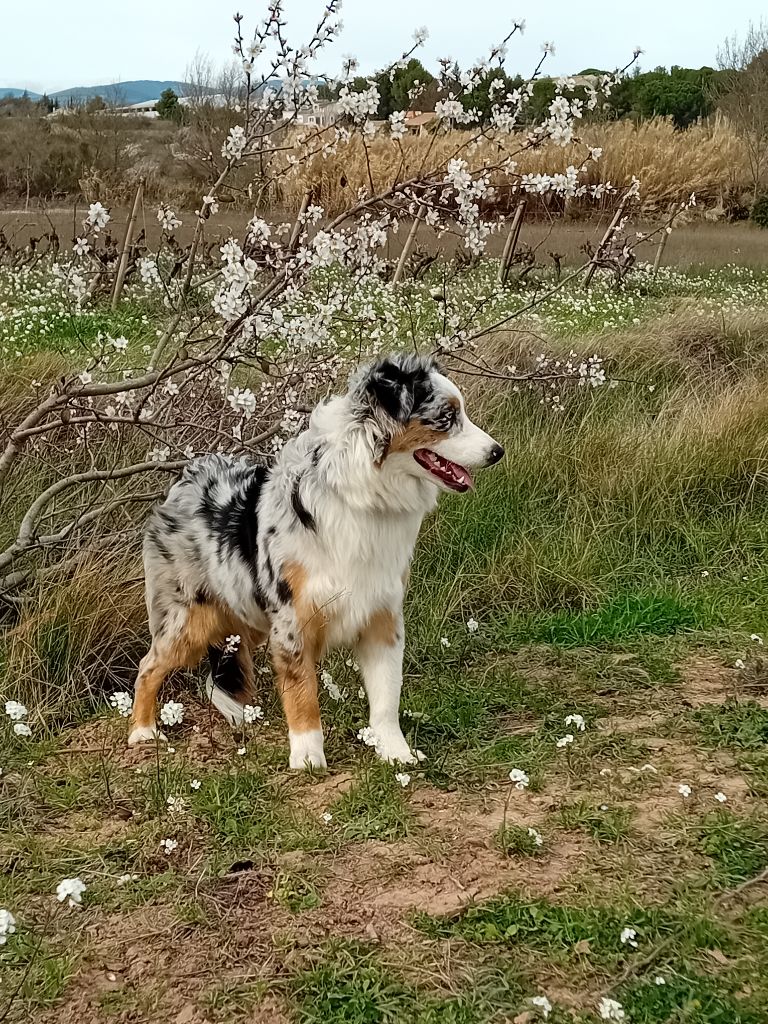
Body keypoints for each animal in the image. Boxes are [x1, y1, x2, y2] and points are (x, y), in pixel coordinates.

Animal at [131, 352, 505, 770]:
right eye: (446, 416)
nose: (497, 451)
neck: (366, 497)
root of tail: (184, 480)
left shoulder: (382, 615)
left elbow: (387, 697)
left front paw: (395, 753)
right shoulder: (293, 622)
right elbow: (302, 693)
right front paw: (309, 758)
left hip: (244, 617)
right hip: (188, 621)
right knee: (147, 668)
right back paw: (143, 732)